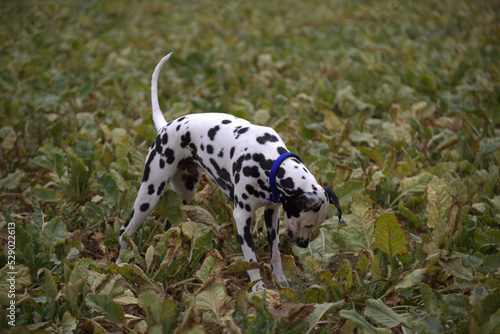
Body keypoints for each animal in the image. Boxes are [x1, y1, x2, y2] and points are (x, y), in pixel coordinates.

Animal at [116, 53, 344, 290]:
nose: (304, 244)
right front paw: (258, 288)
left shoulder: (272, 214)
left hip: (185, 194)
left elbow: (275, 254)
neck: (269, 161)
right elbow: (251, 259)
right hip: (149, 195)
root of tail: (165, 126)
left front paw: (280, 280)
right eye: (309, 224)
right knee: (125, 232)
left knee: (169, 227)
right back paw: (119, 268)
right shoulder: (242, 217)